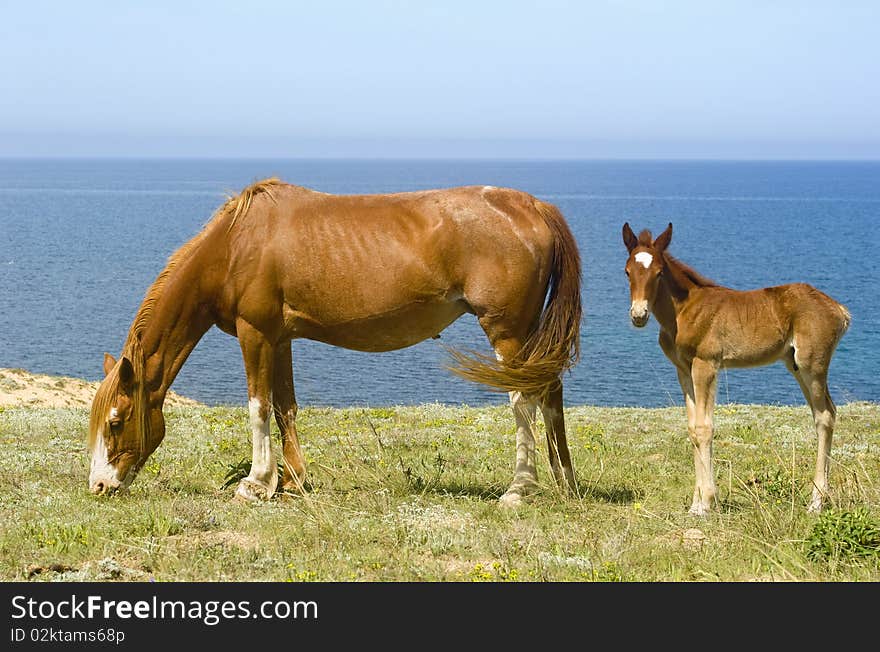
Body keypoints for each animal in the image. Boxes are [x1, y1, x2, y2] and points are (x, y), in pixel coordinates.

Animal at [624, 223, 848, 516]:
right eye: (627, 271)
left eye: (659, 272)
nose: (638, 315)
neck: (682, 311)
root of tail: (839, 310)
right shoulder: (683, 369)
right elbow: (692, 429)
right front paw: (696, 503)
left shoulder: (706, 364)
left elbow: (704, 427)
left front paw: (706, 503)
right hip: (796, 365)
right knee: (824, 413)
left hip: (813, 363)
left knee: (825, 415)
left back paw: (817, 501)